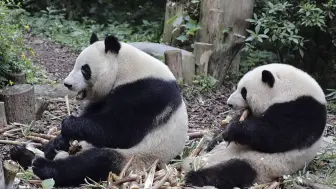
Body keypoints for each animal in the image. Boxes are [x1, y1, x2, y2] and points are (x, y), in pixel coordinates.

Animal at [9, 33, 189, 187]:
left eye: (85, 69)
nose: (67, 84)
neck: (125, 68)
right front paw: (61, 138)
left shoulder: (146, 93)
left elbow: (119, 131)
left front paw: (69, 123)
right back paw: (24, 153)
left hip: (139, 158)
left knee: (97, 161)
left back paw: (43, 167)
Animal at [182, 63, 326, 189]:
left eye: (244, 91)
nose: (229, 103)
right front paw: (219, 136)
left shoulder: (303, 111)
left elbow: (275, 136)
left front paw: (233, 130)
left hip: (260, 164)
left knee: (231, 172)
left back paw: (194, 177)